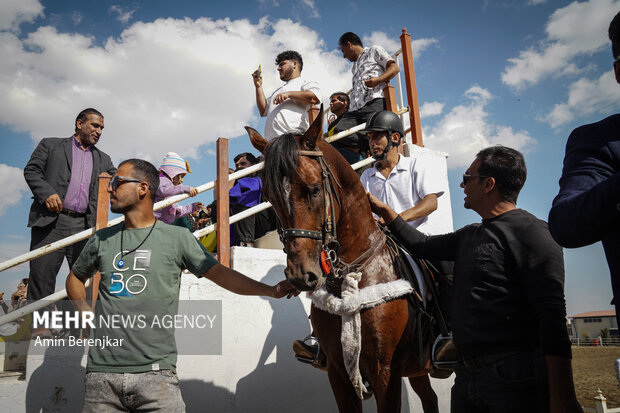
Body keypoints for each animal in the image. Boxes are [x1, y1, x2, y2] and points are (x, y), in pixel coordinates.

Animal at [246, 108, 440, 410]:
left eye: (314, 189)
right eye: (271, 198)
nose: (301, 275)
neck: (353, 275)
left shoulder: (386, 372)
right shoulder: (338, 373)